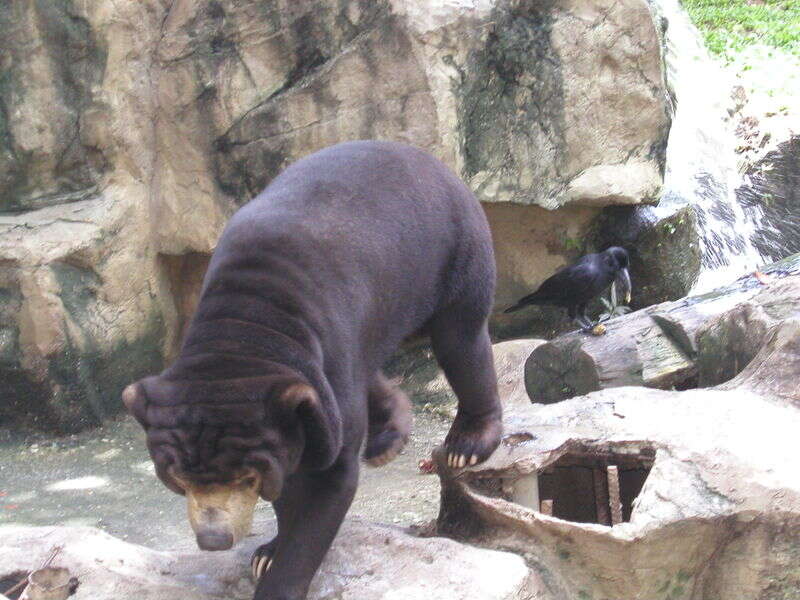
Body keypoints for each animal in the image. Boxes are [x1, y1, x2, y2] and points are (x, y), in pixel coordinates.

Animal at [122, 142, 504, 600]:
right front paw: (267, 551)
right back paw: (386, 438)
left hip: (454, 251)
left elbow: (326, 479)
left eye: (247, 477)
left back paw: (467, 444)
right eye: (178, 475)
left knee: (461, 340)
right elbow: (291, 478)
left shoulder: (325, 359)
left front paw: (276, 572)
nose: (214, 539)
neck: (246, 321)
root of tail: (428, 159)